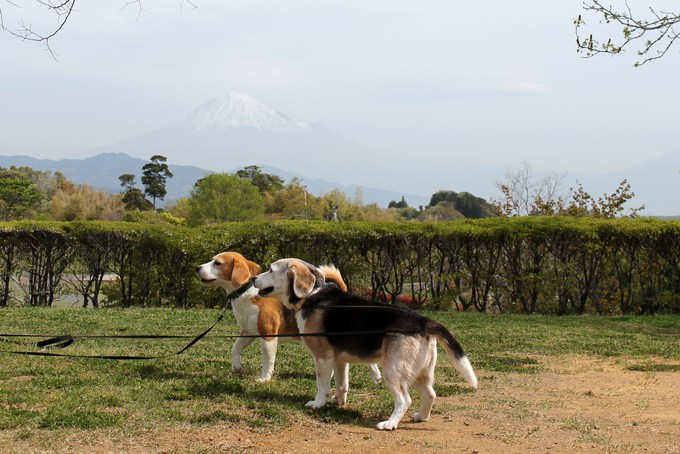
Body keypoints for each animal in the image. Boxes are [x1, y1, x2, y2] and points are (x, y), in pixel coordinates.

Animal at [195, 252, 382, 384]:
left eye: (217, 263)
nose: (197, 267)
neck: (246, 293)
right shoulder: (248, 332)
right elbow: (235, 349)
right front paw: (237, 367)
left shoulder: (268, 335)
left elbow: (268, 360)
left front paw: (265, 378)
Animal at [252, 258, 480, 430]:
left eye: (271, 270)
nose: (253, 278)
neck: (313, 294)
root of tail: (421, 320)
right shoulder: (339, 360)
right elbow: (341, 384)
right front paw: (338, 401)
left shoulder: (322, 358)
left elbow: (323, 385)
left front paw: (318, 403)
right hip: (419, 372)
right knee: (431, 394)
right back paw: (421, 417)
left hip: (393, 370)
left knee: (404, 400)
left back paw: (390, 423)